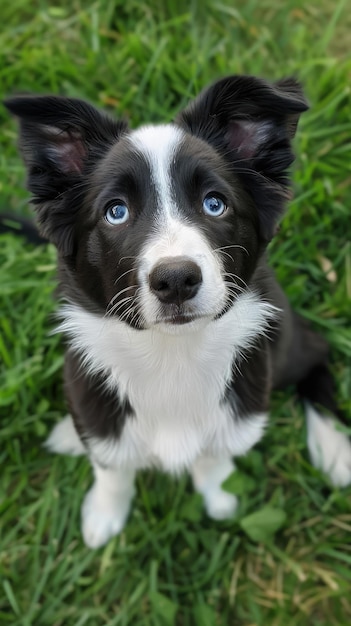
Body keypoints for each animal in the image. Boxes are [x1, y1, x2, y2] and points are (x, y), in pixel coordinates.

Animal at [4, 75, 350, 548]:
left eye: (215, 203)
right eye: (116, 212)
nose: (176, 280)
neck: (172, 355)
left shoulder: (241, 409)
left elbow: (215, 456)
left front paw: (217, 496)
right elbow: (111, 466)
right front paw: (104, 514)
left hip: (283, 345)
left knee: (318, 355)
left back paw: (333, 448)